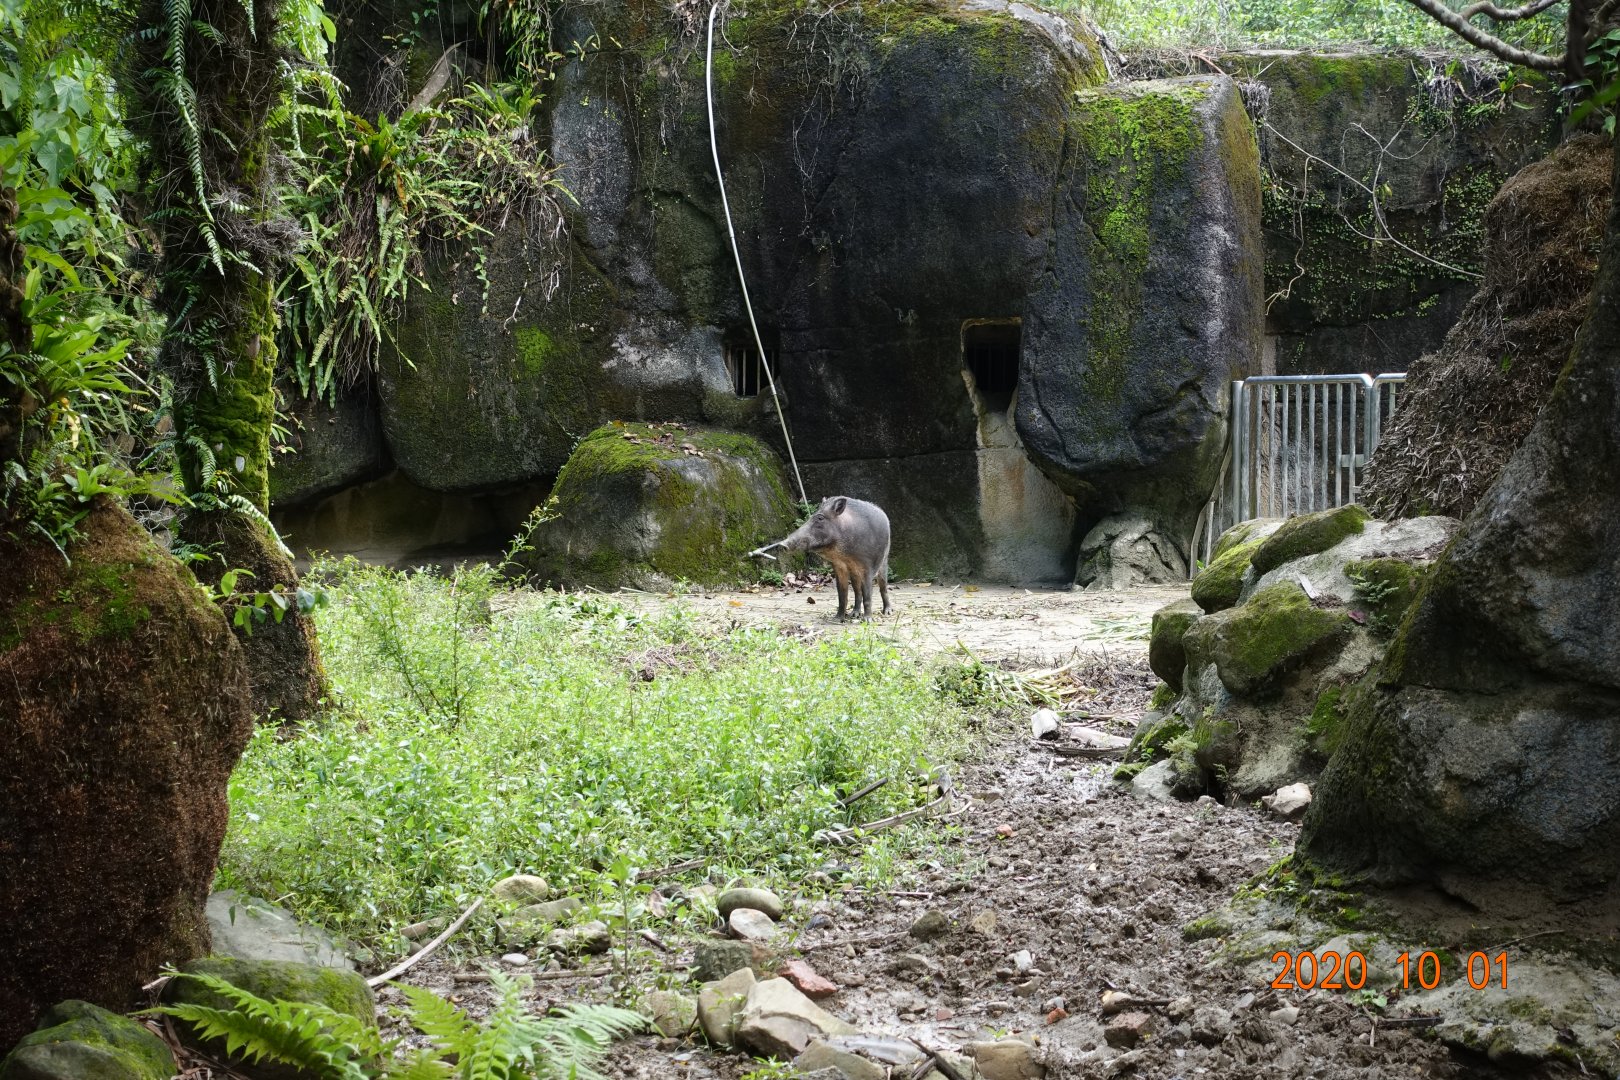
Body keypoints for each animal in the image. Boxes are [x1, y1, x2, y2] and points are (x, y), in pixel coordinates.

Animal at [752, 496, 892, 620]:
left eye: (820, 517)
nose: (783, 544)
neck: (845, 555)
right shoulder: (839, 566)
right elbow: (842, 594)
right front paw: (836, 619)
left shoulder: (867, 566)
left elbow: (868, 595)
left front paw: (868, 621)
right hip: (855, 573)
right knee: (857, 591)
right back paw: (854, 615)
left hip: (884, 559)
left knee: (883, 587)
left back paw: (887, 612)